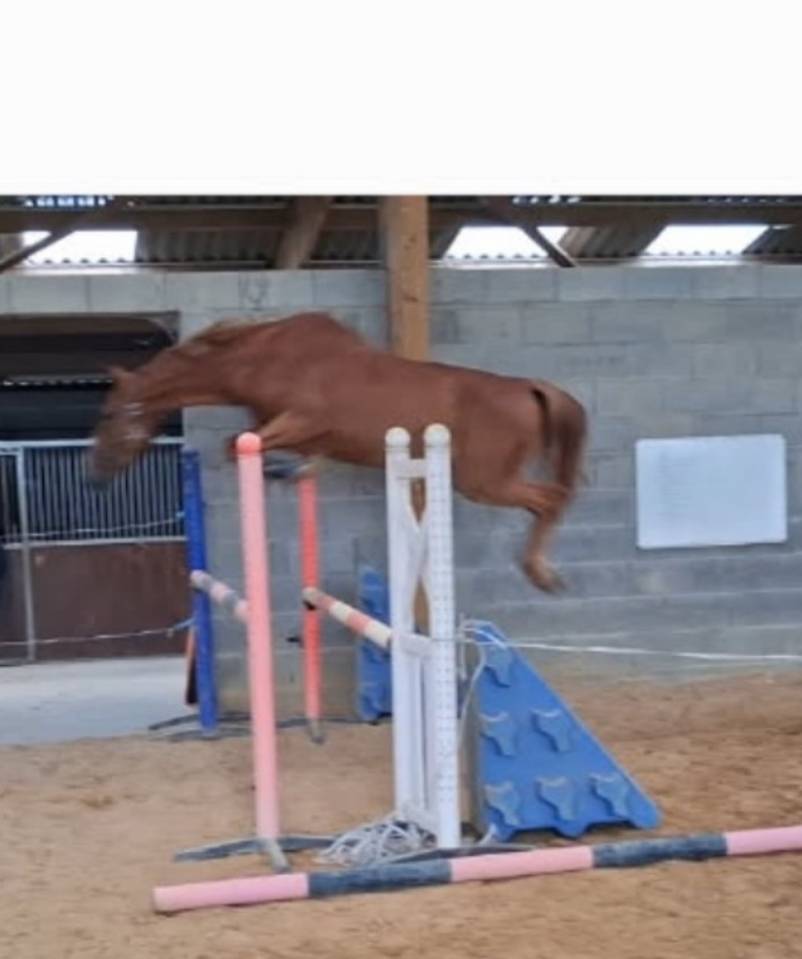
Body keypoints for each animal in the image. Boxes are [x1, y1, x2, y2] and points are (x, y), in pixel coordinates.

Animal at [89, 311, 587, 592]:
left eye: (110, 414)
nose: (95, 474)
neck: (257, 361)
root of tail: (528, 388)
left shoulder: (303, 420)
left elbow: (237, 447)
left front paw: (283, 472)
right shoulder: (286, 429)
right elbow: (256, 448)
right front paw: (291, 472)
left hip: (484, 480)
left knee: (551, 499)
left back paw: (540, 574)